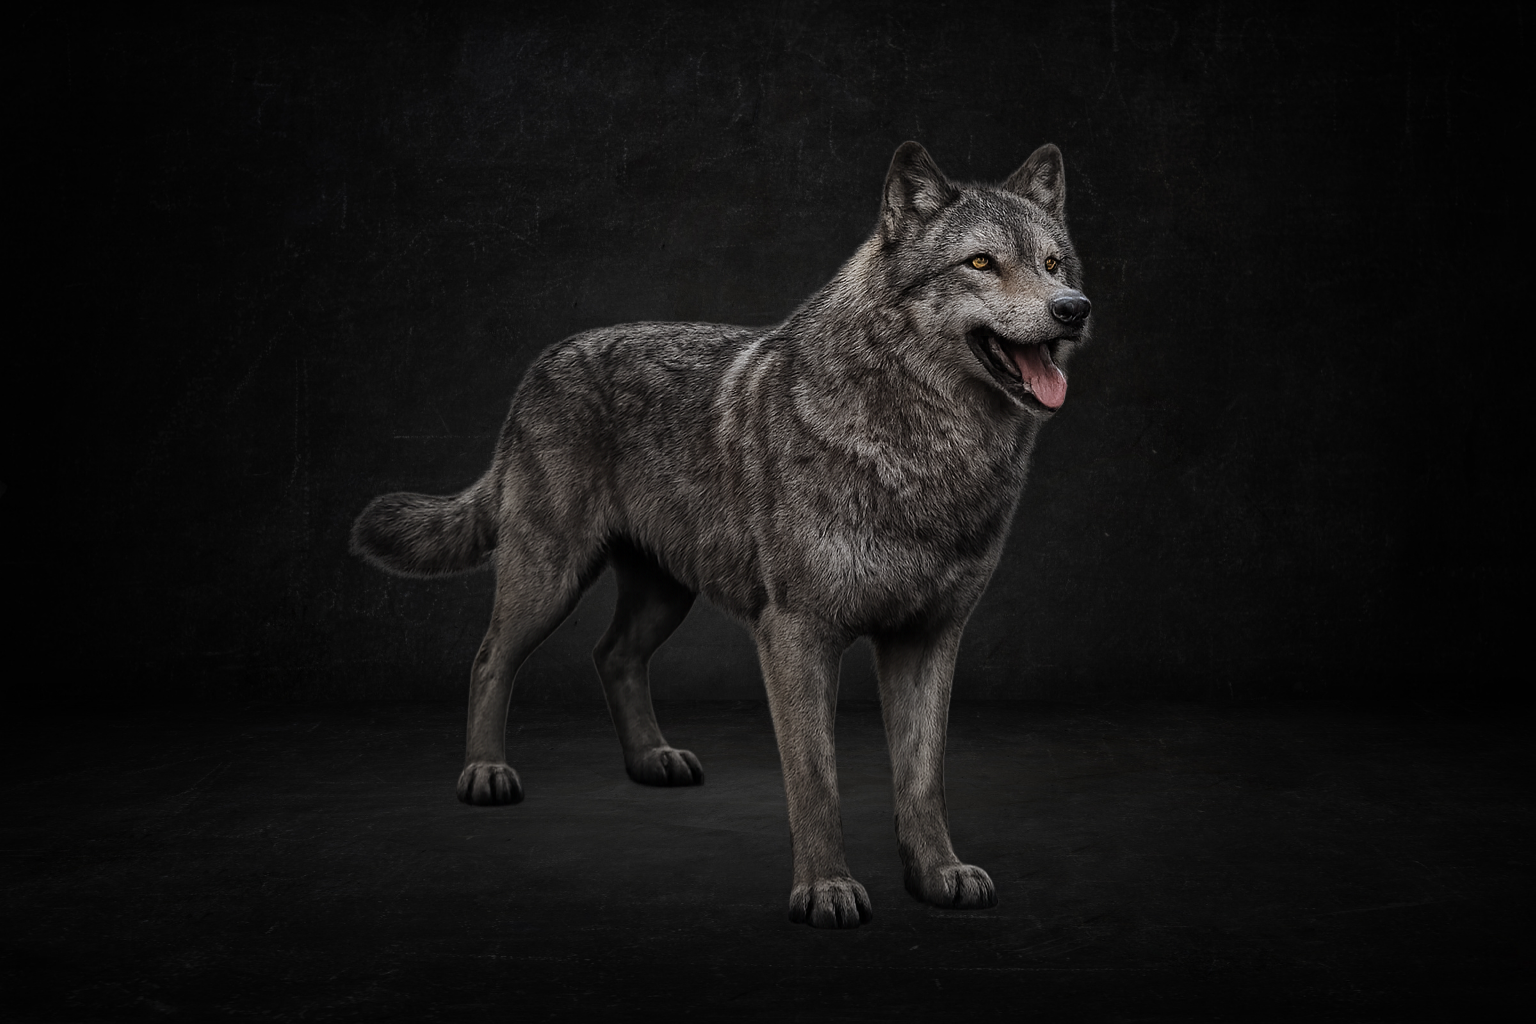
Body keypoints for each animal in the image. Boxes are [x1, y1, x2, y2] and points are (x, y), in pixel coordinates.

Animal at [352, 141, 1091, 928]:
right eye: (981, 263)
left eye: (1054, 264)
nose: (1074, 310)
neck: (924, 453)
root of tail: (539, 366)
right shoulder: (796, 634)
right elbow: (816, 779)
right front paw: (825, 890)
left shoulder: (928, 638)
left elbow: (922, 779)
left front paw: (939, 874)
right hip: (549, 578)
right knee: (491, 657)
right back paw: (485, 772)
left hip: (665, 593)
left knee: (611, 655)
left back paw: (653, 759)